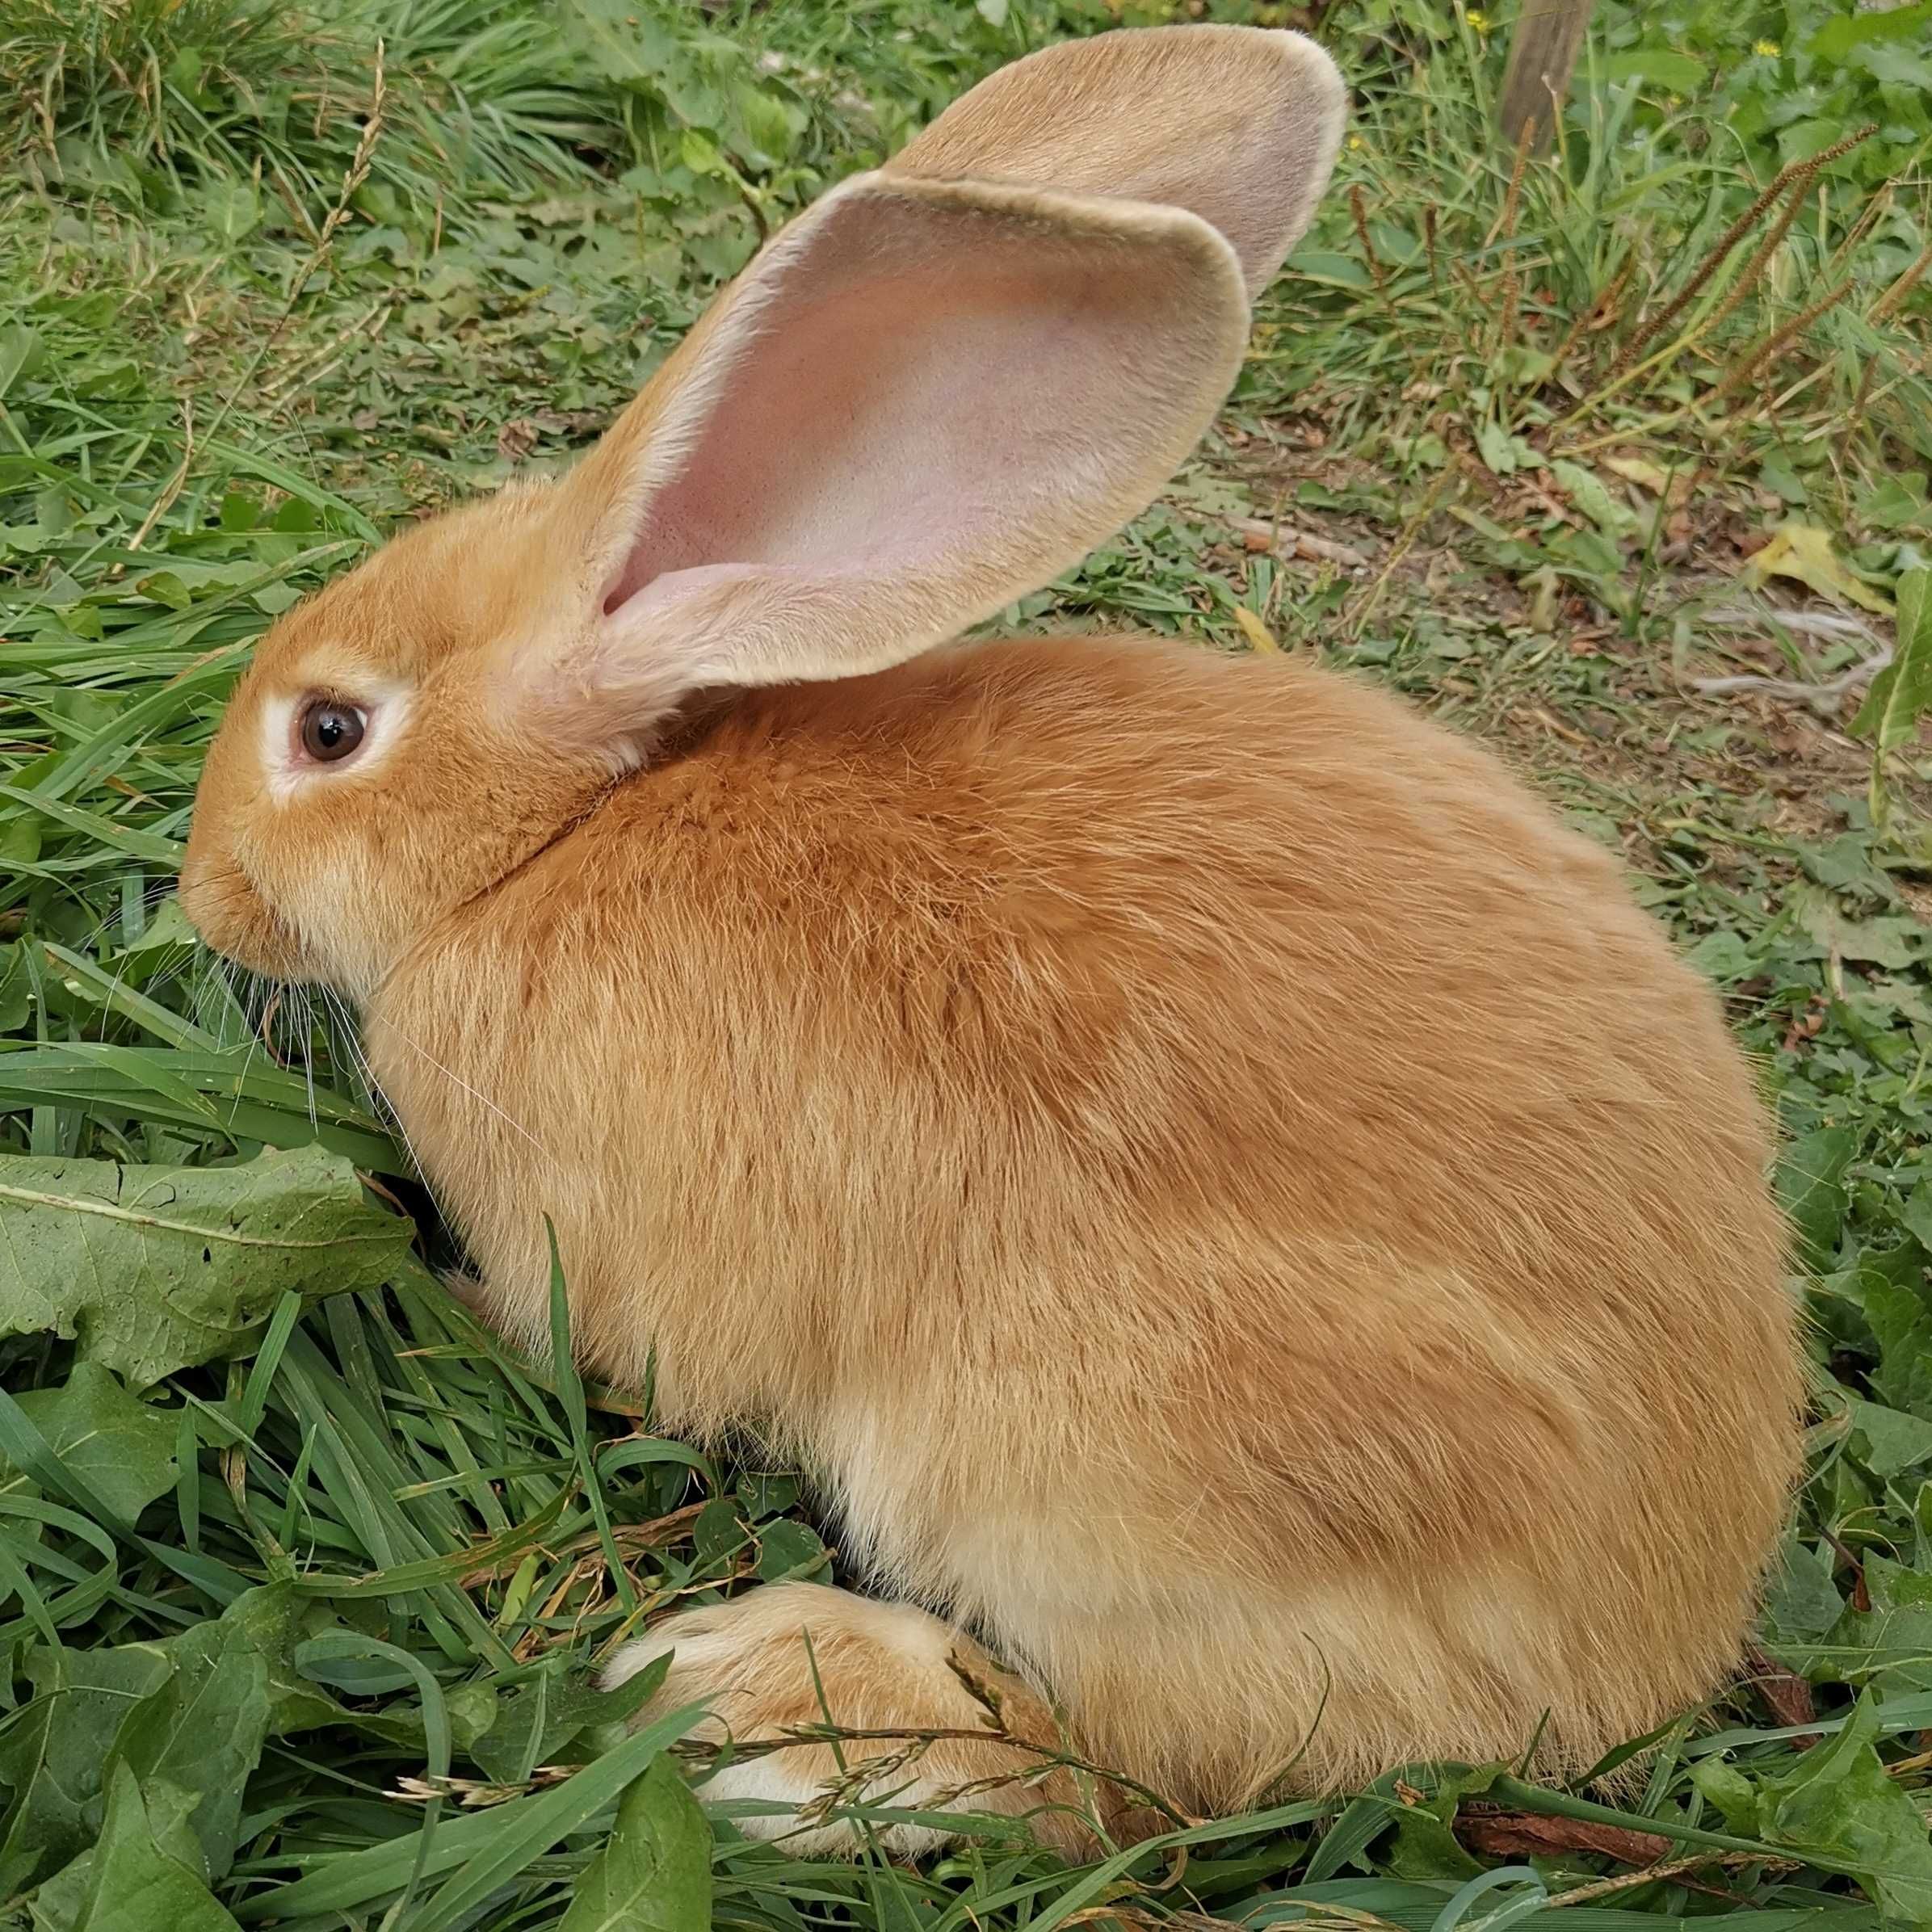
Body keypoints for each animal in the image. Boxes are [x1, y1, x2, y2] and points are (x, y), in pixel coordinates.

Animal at [178, 19, 1792, 1854]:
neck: (551, 843)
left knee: (1143, 1767)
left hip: (1118, 1475)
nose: (201, 885)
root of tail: (1652, 1629)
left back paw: (763, 1710)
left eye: (329, 733)